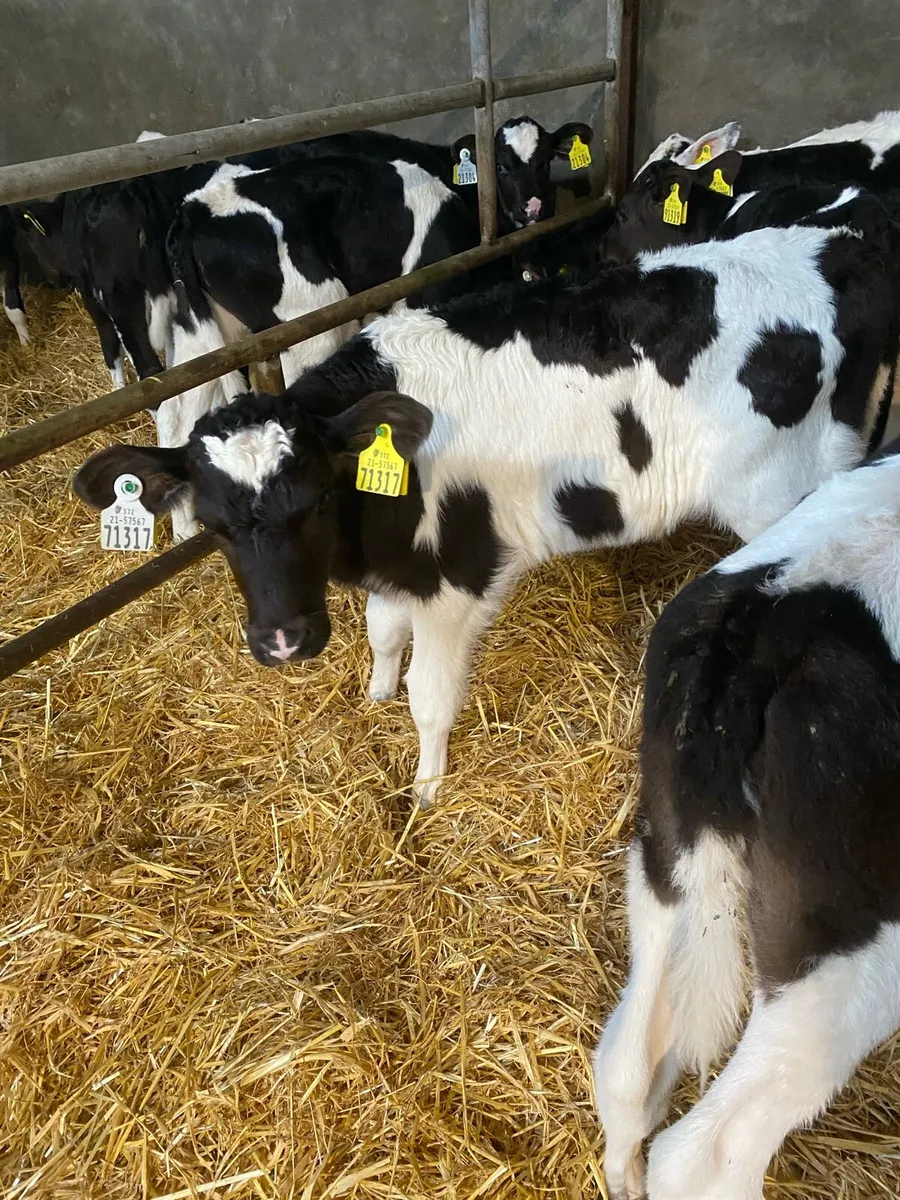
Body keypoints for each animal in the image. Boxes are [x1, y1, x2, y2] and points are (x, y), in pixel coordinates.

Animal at [72, 213, 899, 803]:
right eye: (212, 528)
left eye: (315, 502)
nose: (282, 641)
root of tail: (844, 248)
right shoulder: (400, 563)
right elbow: (382, 632)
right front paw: (374, 691)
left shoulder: (457, 577)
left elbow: (431, 697)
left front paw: (426, 788)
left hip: (792, 491)